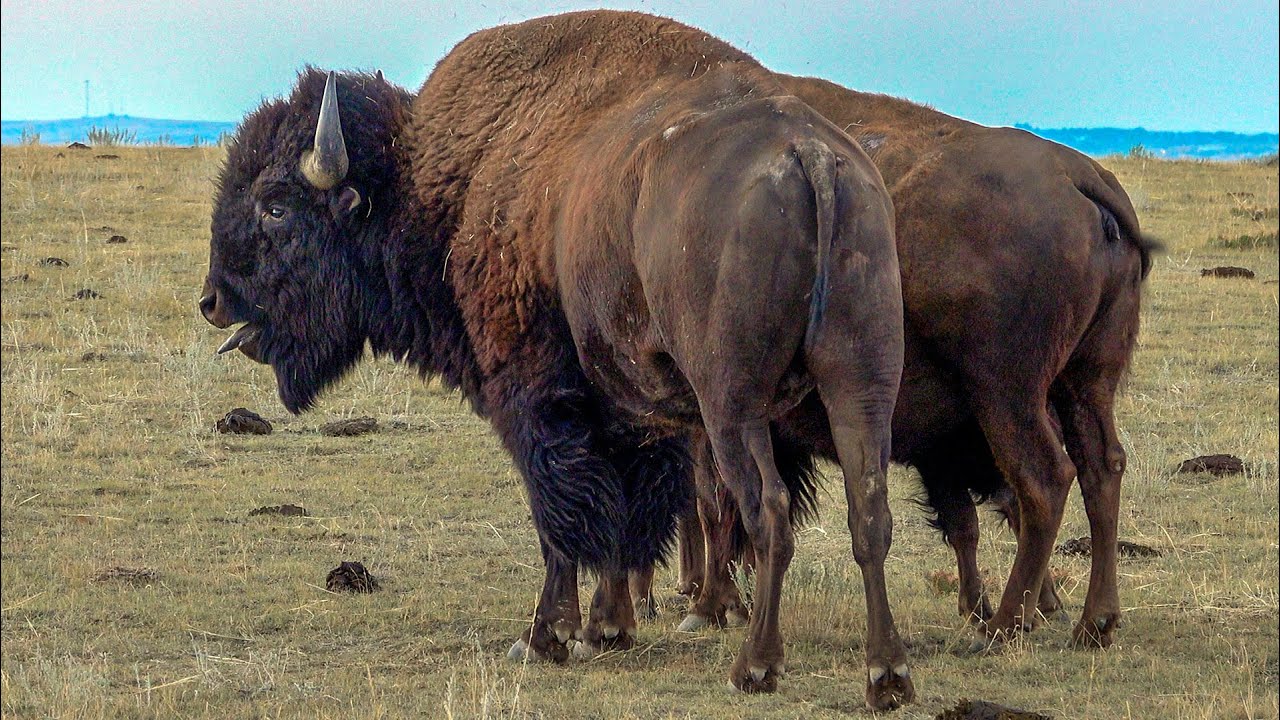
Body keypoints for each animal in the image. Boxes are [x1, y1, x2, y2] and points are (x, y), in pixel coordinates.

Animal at [200, 11, 912, 708]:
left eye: (275, 206)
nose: (212, 301)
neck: (435, 183)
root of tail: (809, 156)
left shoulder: (533, 400)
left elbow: (562, 516)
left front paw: (546, 637)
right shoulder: (633, 412)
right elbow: (626, 514)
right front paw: (607, 628)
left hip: (732, 402)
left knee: (769, 511)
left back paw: (756, 668)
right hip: (861, 383)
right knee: (869, 510)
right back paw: (887, 676)